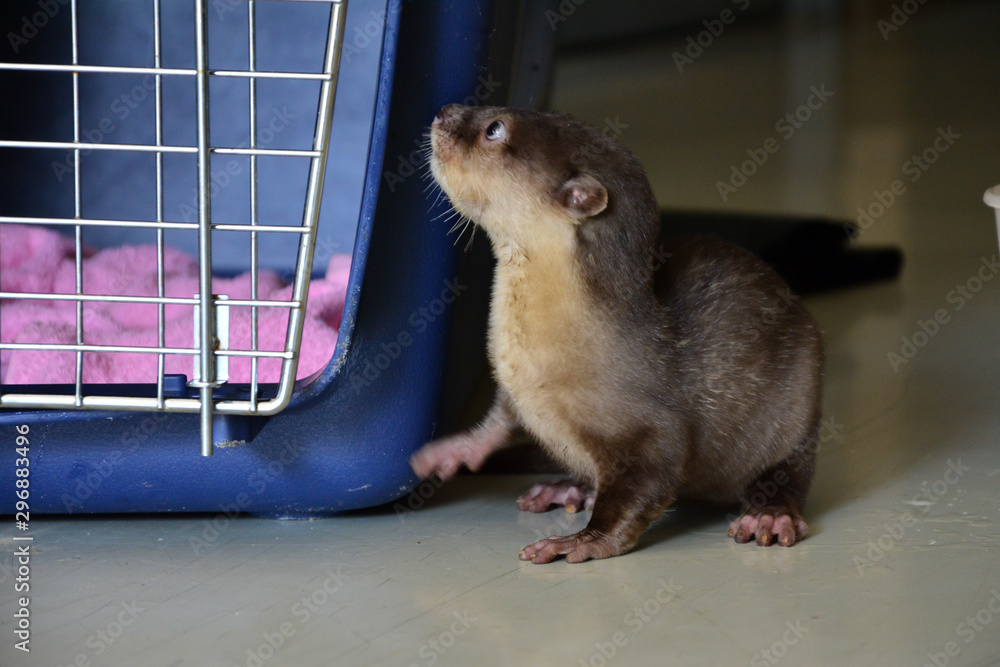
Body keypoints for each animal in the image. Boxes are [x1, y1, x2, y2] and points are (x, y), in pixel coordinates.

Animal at [410, 104, 823, 564]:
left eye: (495, 129)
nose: (444, 111)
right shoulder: (516, 390)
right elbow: (499, 421)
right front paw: (454, 449)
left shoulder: (648, 428)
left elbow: (644, 483)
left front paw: (581, 541)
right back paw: (570, 487)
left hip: (798, 408)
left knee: (790, 471)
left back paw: (769, 514)